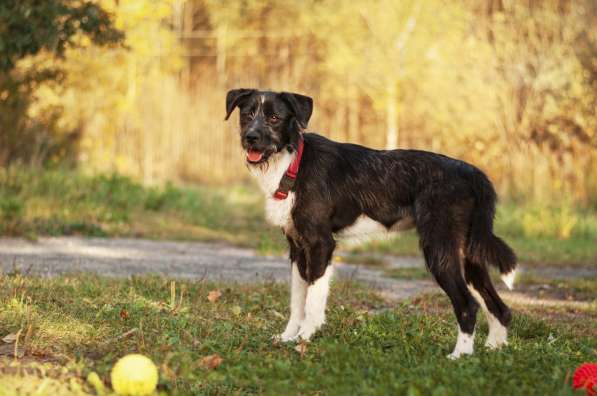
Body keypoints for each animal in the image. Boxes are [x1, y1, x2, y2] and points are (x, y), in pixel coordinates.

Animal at [226, 89, 516, 358]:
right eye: (247, 115)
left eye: (274, 118)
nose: (250, 137)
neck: (292, 163)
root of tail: (474, 174)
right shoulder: (297, 249)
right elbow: (297, 300)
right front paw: (288, 337)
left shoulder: (321, 244)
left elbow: (313, 300)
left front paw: (305, 338)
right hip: (470, 255)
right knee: (498, 307)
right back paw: (493, 348)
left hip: (440, 250)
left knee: (468, 305)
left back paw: (460, 355)